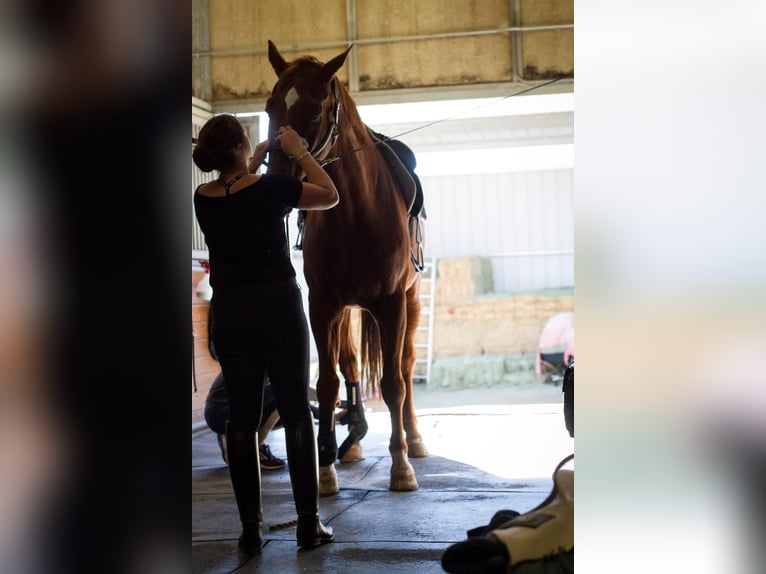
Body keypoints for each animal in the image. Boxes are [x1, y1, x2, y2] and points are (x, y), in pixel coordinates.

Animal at [264, 40, 428, 495]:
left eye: (314, 111)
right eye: (269, 108)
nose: (277, 181)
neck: (356, 214)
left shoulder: (391, 304)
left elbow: (393, 383)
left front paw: (400, 467)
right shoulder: (322, 305)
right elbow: (326, 384)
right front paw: (324, 471)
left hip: (410, 302)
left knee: (406, 367)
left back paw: (415, 440)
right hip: (346, 311)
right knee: (351, 365)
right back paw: (351, 443)